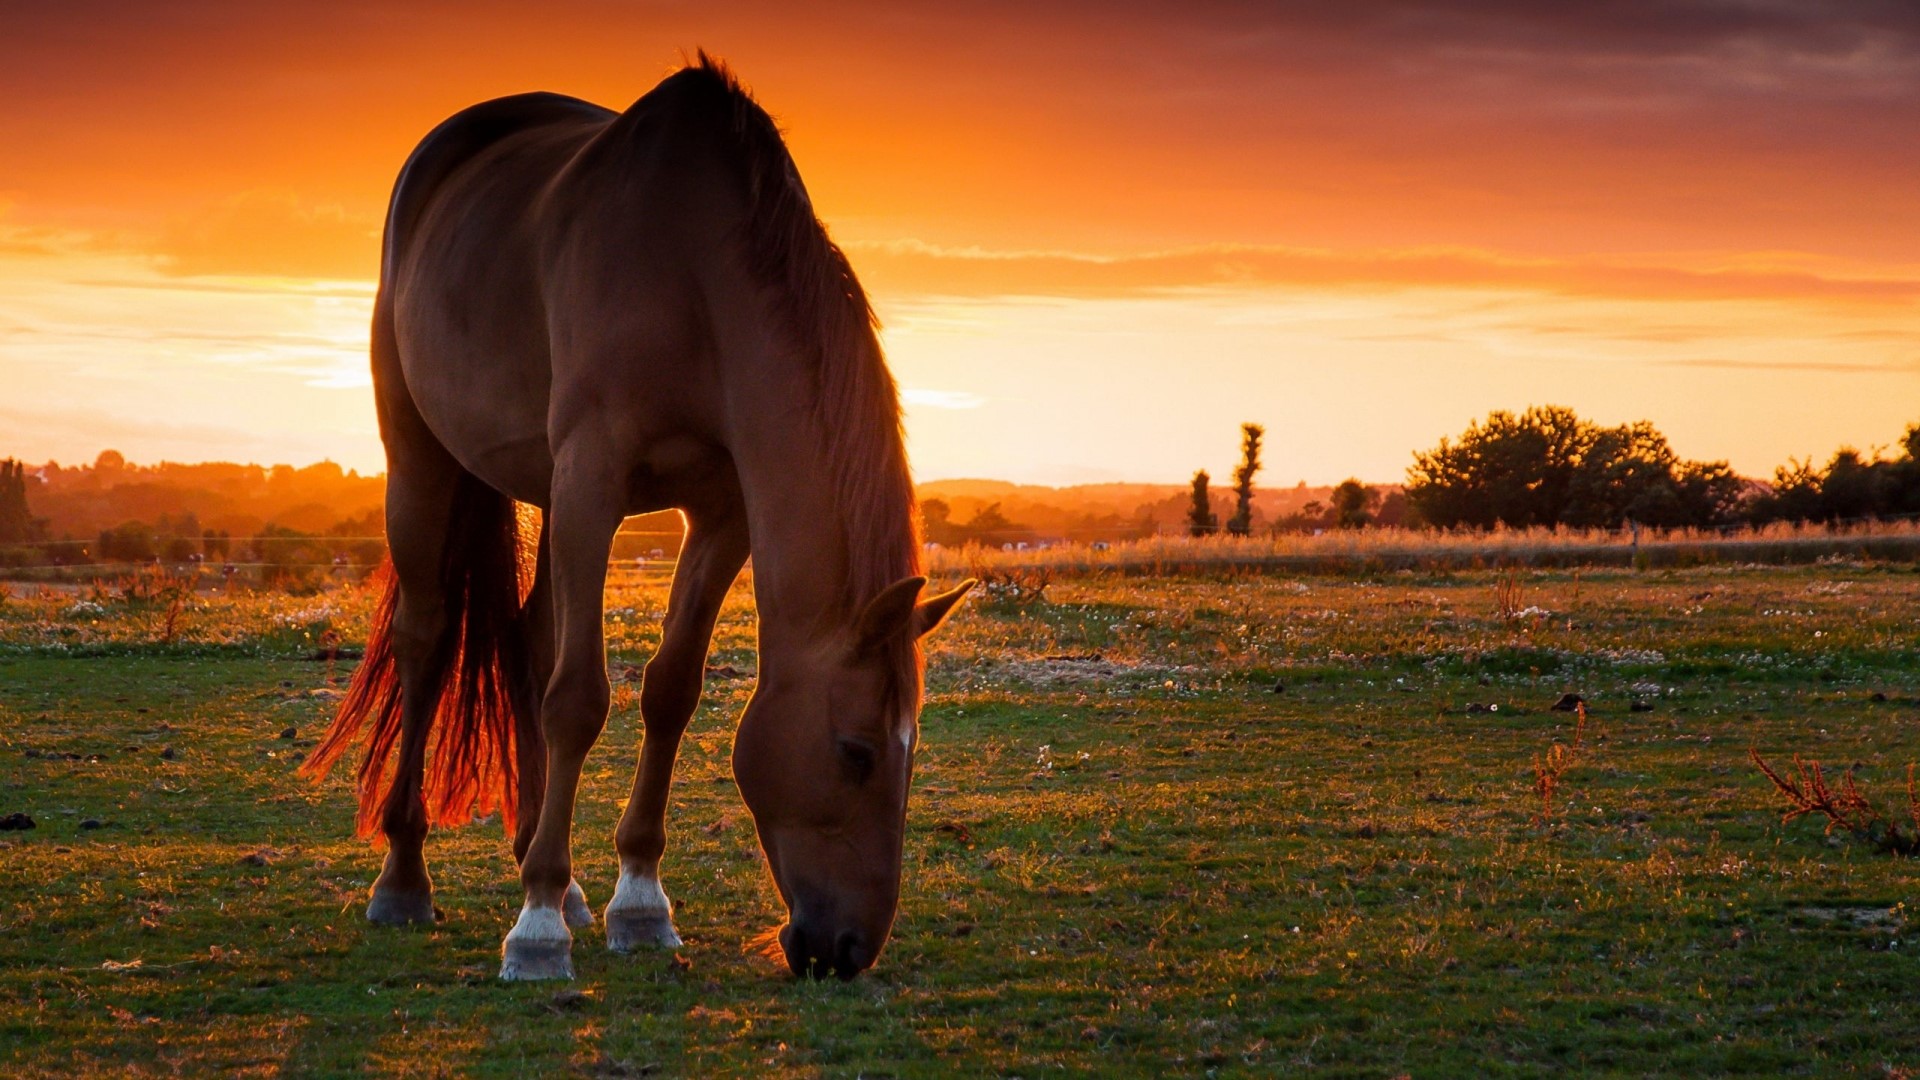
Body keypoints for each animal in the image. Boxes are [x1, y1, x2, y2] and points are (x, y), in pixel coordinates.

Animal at [302, 54, 973, 982]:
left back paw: (553, 868)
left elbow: (670, 689)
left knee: (530, 639)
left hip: (546, 493)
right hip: (424, 459)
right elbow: (579, 697)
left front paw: (638, 901)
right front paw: (537, 928)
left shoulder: (721, 511)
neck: (695, 276)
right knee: (427, 640)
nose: (847, 949)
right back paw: (407, 880)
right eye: (857, 752)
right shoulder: (595, 478)